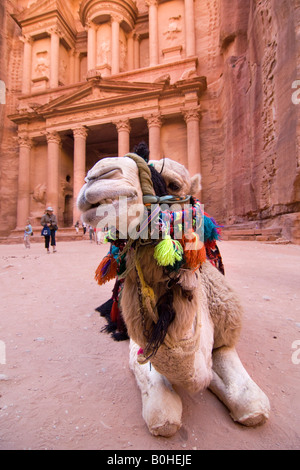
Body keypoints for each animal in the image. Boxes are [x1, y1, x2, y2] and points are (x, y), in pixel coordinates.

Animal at [77, 154, 270, 436]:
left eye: (174, 184)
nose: (96, 177)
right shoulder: (139, 342)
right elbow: (162, 414)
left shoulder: (226, 335)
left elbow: (252, 404)